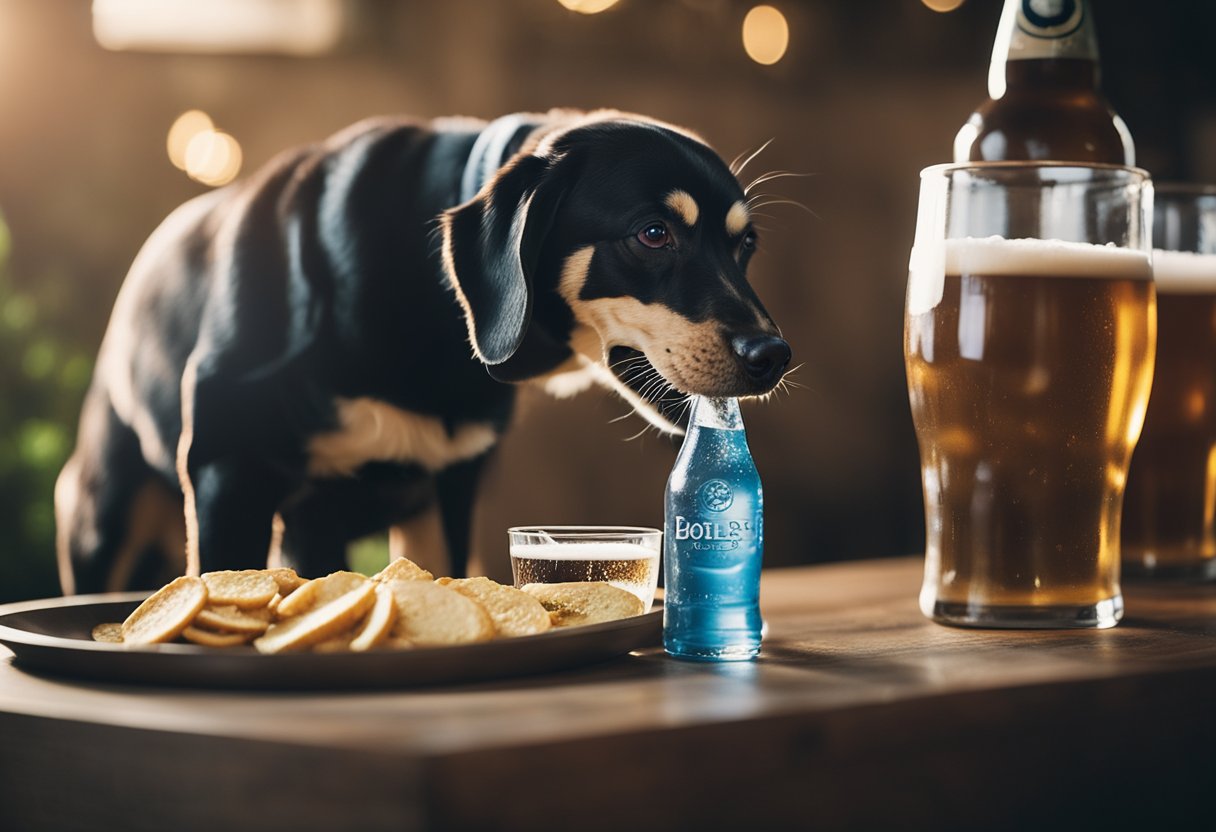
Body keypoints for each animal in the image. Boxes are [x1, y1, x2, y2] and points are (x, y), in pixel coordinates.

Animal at [54, 108, 787, 591]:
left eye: (746, 245)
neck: (440, 313)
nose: (773, 355)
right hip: (103, 521)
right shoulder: (226, 473)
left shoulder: (446, 493)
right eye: (654, 233)